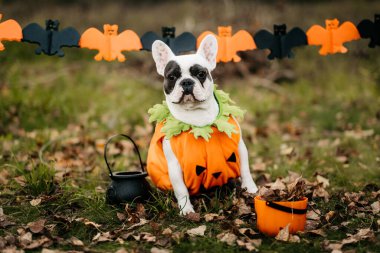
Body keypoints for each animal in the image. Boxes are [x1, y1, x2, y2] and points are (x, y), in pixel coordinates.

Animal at [145, 34, 258, 214]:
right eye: (172, 77)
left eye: (200, 73)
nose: (186, 82)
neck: (196, 113)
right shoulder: (174, 165)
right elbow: (181, 189)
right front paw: (186, 210)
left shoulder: (240, 147)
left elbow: (245, 169)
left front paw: (251, 189)